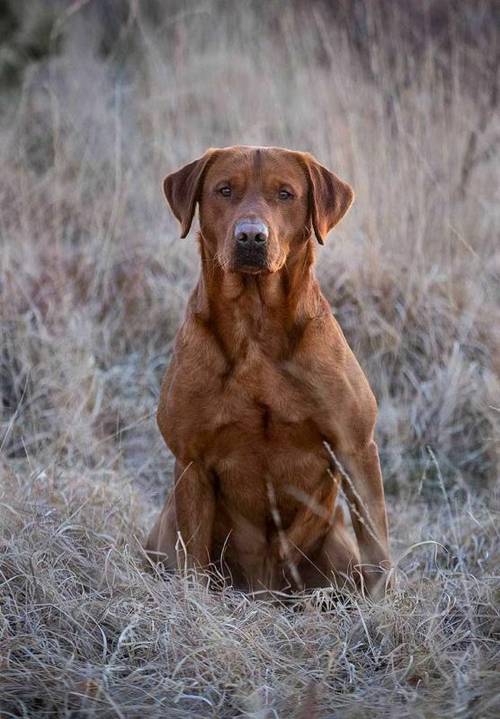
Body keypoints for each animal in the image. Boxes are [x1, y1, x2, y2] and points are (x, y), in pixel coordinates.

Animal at [146, 145, 392, 596]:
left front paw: (385, 604)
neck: (255, 324)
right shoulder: (190, 460)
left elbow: (378, 548)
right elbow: (193, 561)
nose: (250, 237)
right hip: (168, 526)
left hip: (334, 545)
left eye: (285, 194)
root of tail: (265, 589)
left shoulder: (356, 447)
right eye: (224, 190)